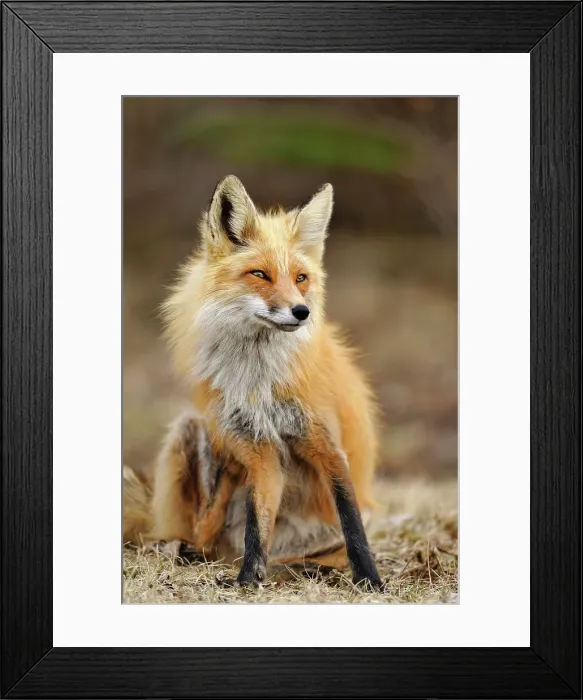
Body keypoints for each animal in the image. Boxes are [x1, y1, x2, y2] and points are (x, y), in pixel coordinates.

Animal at [124, 175, 382, 588]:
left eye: (301, 278)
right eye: (260, 274)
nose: (301, 311)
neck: (257, 379)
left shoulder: (327, 446)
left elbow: (352, 525)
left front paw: (370, 580)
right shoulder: (260, 453)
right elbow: (256, 528)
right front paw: (247, 581)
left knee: (313, 551)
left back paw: (311, 568)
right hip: (191, 429)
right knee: (202, 531)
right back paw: (188, 549)